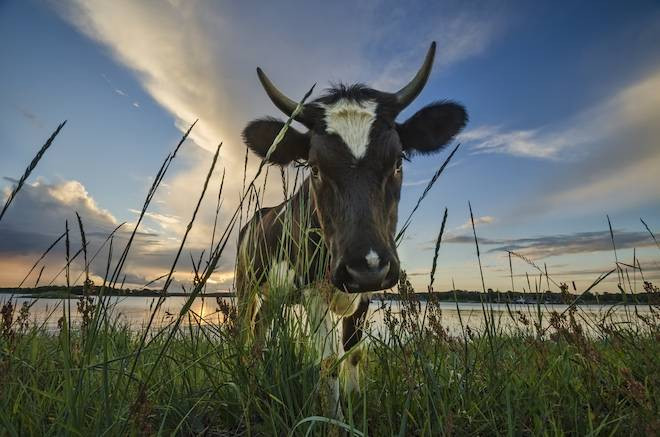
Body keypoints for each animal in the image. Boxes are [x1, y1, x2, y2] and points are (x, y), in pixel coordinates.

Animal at [235, 41, 466, 418]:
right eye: (314, 168)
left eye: (399, 160)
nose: (365, 265)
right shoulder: (314, 289)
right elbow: (328, 362)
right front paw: (335, 420)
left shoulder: (366, 292)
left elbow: (354, 351)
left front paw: (357, 403)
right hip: (247, 284)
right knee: (243, 327)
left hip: (276, 294)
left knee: (261, 327)